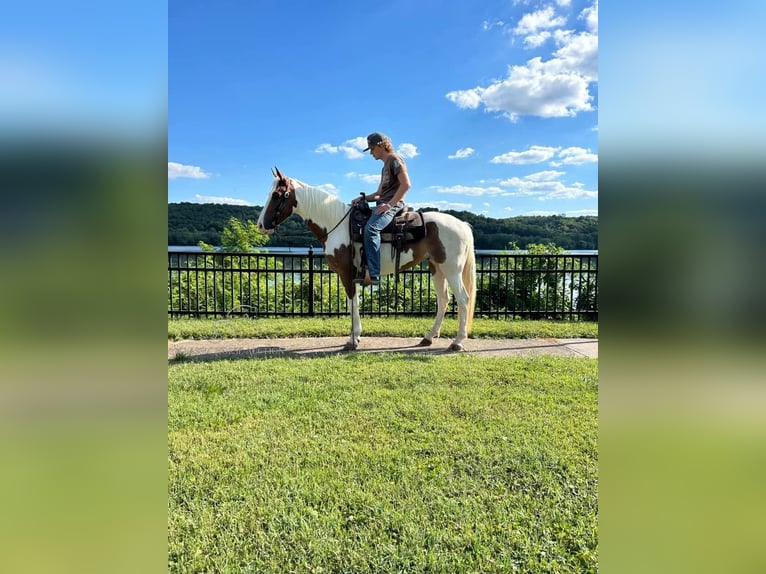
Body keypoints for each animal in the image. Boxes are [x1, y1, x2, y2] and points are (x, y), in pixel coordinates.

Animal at [255, 168, 476, 352]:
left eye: (276, 195)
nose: (261, 225)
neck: (335, 224)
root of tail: (462, 225)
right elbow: (352, 303)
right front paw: (355, 337)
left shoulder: (347, 273)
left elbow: (353, 303)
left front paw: (353, 340)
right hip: (437, 268)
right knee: (444, 300)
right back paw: (428, 338)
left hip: (452, 270)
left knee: (463, 299)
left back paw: (457, 342)